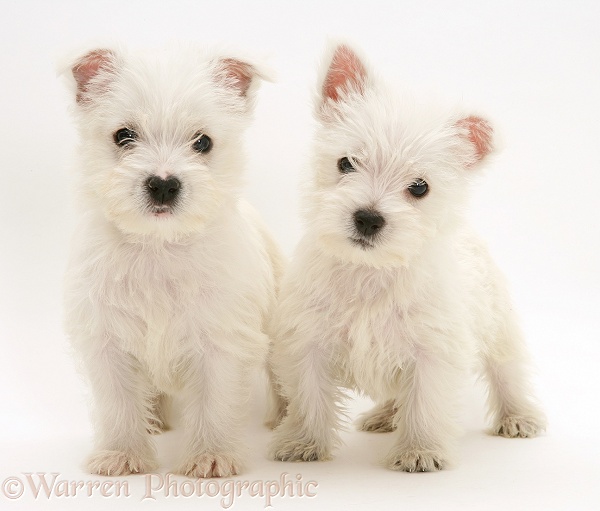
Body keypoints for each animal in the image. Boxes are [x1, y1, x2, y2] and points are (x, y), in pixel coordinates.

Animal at [63, 45, 284, 480]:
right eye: (124, 136)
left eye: (203, 142)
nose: (163, 184)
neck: (158, 247)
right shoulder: (107, 342)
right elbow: (118, 403)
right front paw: (122, 454)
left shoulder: (219, 342)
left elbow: (214, 400)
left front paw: (210, 456)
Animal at [270, 43, 548, 472]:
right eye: (346, 163)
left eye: (419, 187)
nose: (368, 218)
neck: (370, 271)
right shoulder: (308, 341)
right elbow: (309, 398)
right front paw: (303, 443)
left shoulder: (431, 352)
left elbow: (424, 403)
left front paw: (420, 451)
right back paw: (383, 416)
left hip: (499, 327)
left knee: (507, 372)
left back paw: (518, 417)